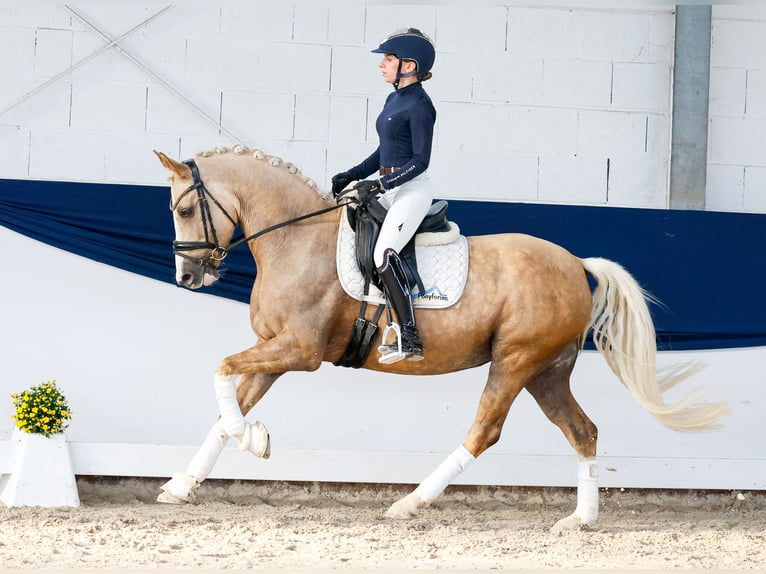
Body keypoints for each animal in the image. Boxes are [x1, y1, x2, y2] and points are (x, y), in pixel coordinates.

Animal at [153, 145, 728, 532]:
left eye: (184, 210)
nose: (187, 277)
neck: (297, 240)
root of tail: (574, 263)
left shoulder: (300, 351)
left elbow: (222, 371)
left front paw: (256, 439)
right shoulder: (274, 352)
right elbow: (227, 407)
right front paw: (184, 483)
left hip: (515, 361)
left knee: (485, 431)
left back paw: (409, 503)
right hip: (547, 371)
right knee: (582, 431)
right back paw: (580, 520)